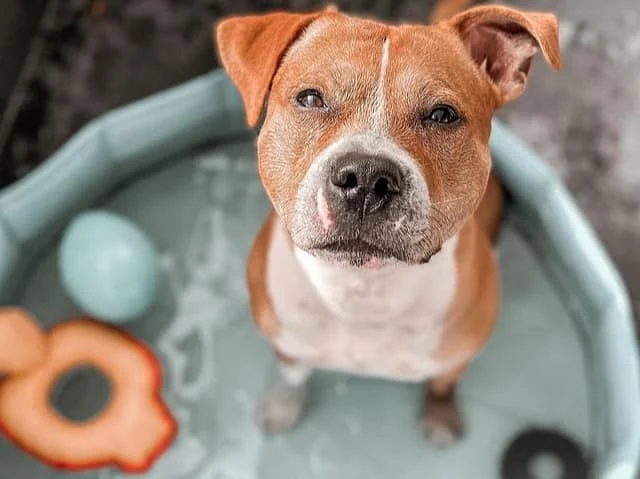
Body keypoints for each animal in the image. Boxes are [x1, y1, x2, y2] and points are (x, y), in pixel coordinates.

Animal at [215, 1, 560, 448]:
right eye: (310, 98)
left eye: (443, 115)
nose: (365, 177)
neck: (362, 290)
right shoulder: (287, 340)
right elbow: (293, 373)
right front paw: (283, 404)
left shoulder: (456, 355)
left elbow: (442, 384)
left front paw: (440, 415)